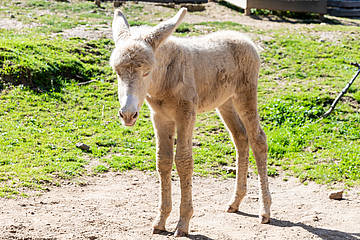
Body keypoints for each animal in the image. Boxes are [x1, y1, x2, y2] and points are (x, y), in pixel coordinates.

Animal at [109, 7, 270, 236]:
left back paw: (265, 211)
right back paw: (235, 202)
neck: (164, 79)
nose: (128, 115)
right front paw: (160, 221)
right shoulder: (160, 117)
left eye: (146, 72)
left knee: (258, 140)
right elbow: (163, 161)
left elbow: (184, 161)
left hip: (245, 94)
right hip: (225, 102)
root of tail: (245, 39)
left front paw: (183, 224)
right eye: (117, 72)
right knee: (240, 138)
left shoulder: (186, 114)